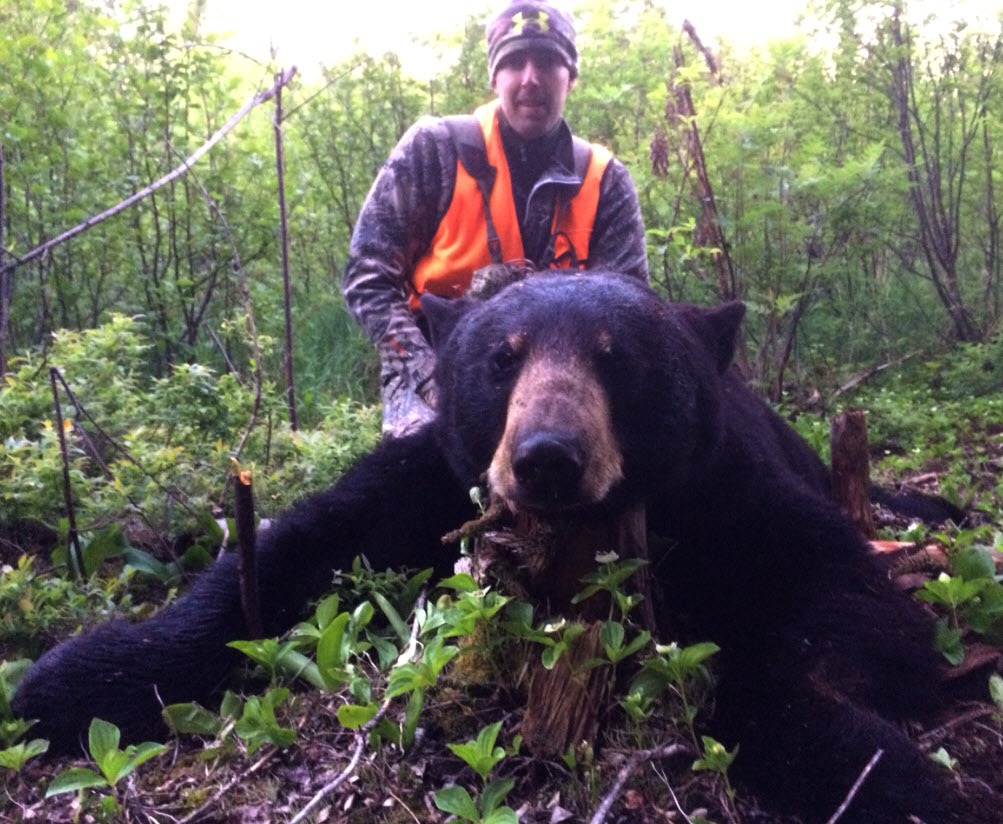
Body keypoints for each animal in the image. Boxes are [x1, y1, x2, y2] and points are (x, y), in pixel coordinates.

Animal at [11, 272, 992, 823]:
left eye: (617, 357)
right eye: (502, 358)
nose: (547, 456)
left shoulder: (732, 493)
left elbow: (847, 606)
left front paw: (881, 773)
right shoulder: (437, 483)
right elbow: (295, 553)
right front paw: (68, 678)